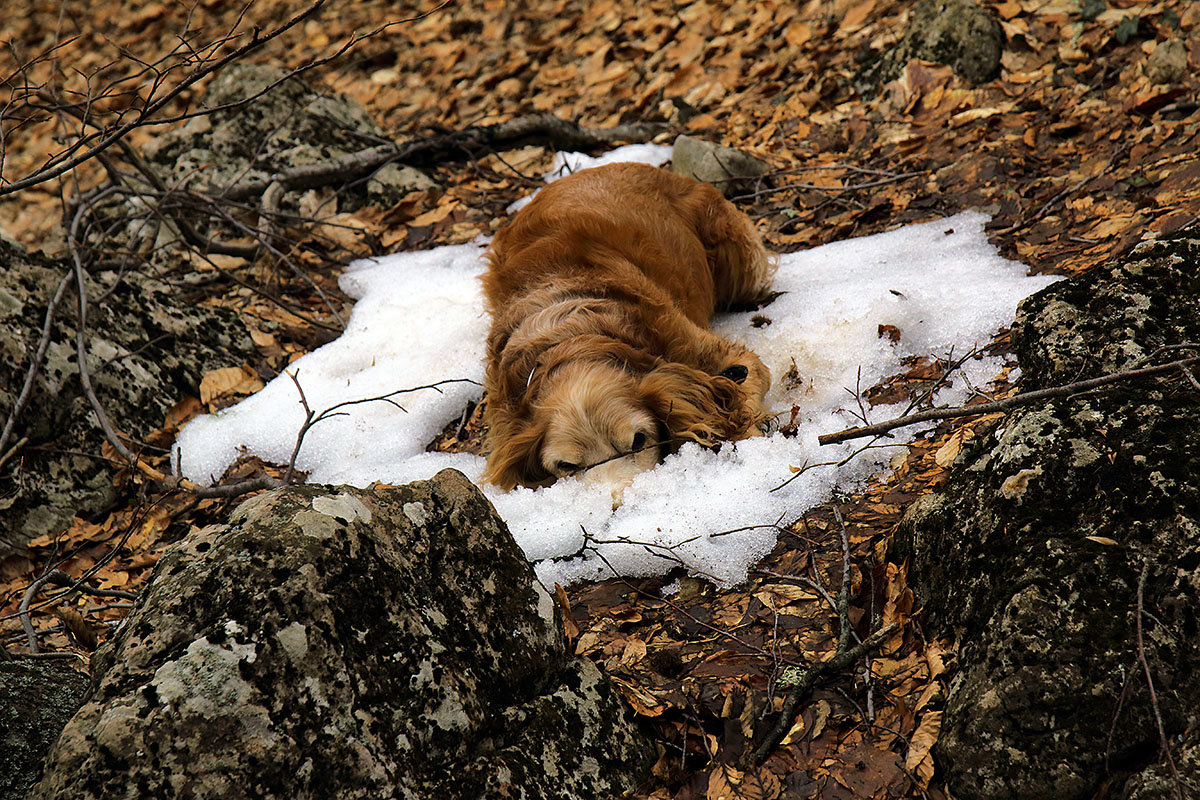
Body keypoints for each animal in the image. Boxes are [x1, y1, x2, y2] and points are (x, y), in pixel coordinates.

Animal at [480, 163, 772, 501]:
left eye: (638, 441)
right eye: (566, 465)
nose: (619, 504)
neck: (570, 339)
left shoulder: (720, 356)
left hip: (740, 256)